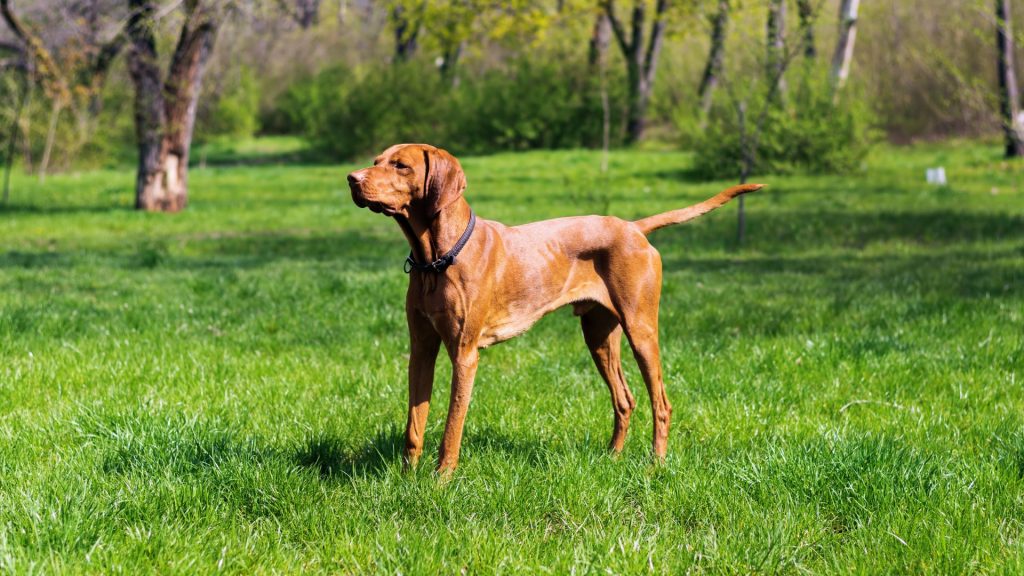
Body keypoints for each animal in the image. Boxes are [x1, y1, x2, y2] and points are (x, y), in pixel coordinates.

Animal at [350, 143, 761, 471]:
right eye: (376, 161)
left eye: (401, 166)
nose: (352, 178)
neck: (435, 259)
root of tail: (632, 227)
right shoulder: (421, 349)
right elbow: (414, 422)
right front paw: (407, 477)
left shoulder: (464, 354)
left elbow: (452, 427)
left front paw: (441, 480)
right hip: (599, 336)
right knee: (624, 399)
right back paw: (613, 457)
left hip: (641, 330)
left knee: (661, 402)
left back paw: (655, 464)